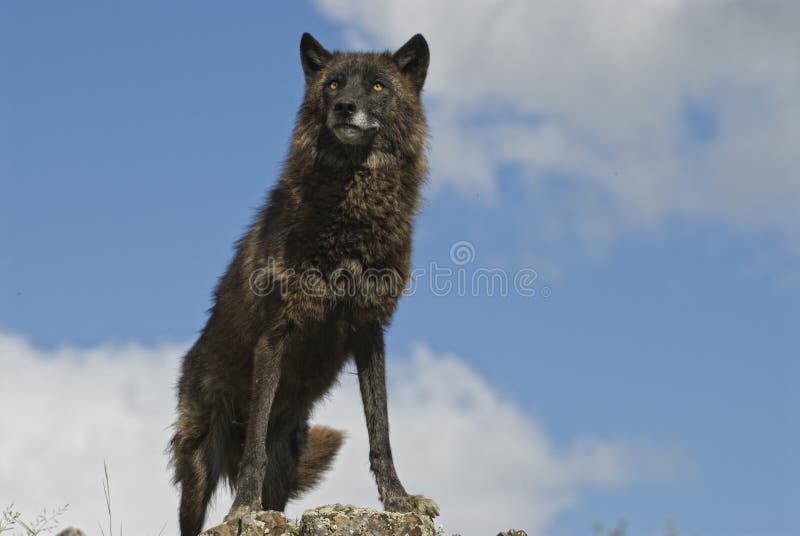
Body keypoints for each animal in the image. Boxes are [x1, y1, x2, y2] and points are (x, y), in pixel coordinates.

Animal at [170, 31, 440, 532]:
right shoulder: (276, 335)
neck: (353, 209)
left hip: (286, 462)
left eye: (377, 86)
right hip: (197, 464)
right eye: (333, 85)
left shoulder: (370, 333)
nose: (345, 107)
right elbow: (254, 446)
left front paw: (399, 500)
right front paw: (242, 509)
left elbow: (382, 433)